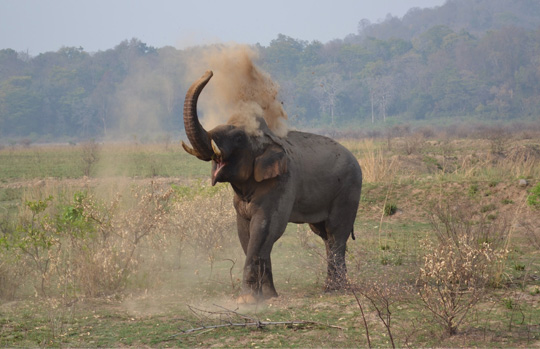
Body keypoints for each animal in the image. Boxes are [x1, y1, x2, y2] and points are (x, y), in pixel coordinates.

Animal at [181, 70, 362, 302]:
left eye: (238, 137)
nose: (209, 71)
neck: (268, 138)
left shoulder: (281, 184)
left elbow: (265, 229)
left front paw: (248, 300)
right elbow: (246, 233)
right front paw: (268, 297)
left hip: (349, 189)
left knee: (336, 232)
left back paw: (334, 290)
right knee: (324, 235)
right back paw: (331, 287)